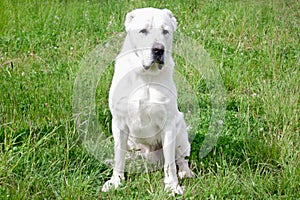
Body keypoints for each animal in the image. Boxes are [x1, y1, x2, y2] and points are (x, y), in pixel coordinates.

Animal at [102, 8, 193, 195]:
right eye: (143, 31)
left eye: (165, 31)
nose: (158, 50)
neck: (145, 76)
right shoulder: (119, 123)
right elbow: (118, 156)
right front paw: (115, 181)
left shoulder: (169, 125)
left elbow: (170, 165)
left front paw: (172, 186)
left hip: (180, 130)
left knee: (181, 158)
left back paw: (185, 172)